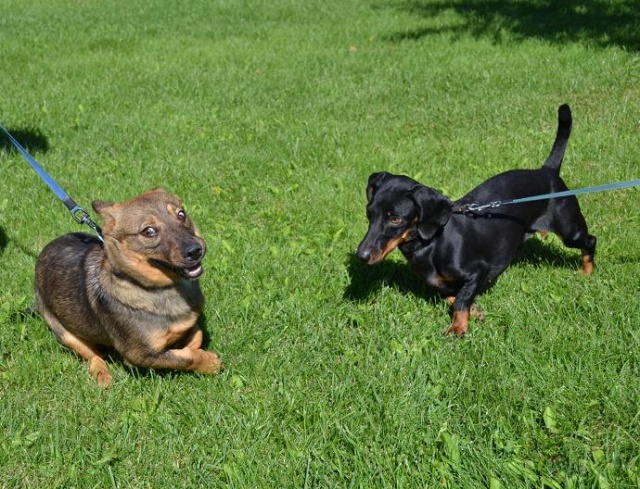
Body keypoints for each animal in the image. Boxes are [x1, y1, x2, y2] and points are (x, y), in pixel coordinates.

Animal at [35, 188, 222, 386]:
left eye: (181, 214)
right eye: (148, 231)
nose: (195, 250)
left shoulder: (192, 322)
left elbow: (196, 337)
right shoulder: (140, 355)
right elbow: (185, 358)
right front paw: (209, 362)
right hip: (64, 332)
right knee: (94, 357)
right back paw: (102, 376)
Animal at [356, 104, 596, 335]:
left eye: (396, 219)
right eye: (369, 213)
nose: (361, 256)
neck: (432, 244)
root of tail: (548, 171)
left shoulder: (479, 271)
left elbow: (461, 300)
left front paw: (458, 328)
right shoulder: (440, 283)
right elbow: (454, 298)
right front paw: (473, 312)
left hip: (569, 230)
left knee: (590, 240)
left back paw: (587, 271)